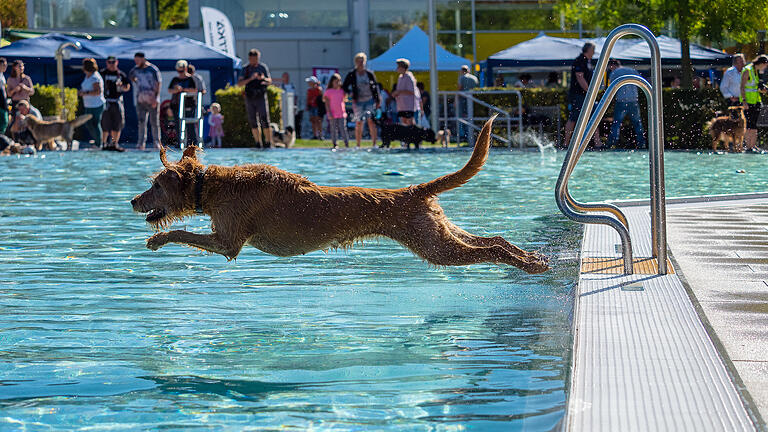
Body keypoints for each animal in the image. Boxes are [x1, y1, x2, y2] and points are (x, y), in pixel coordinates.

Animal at [134, 117, 552, 274]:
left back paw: (530, 265)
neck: (211, 185)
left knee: (490, 250)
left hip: (434, 246)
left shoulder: (228, 243)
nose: (133, 202)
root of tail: (415, 190)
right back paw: (532, 256)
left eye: (155, 185)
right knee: (494, 238)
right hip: (440, 230)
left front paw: (157, 239)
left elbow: (181, 233)